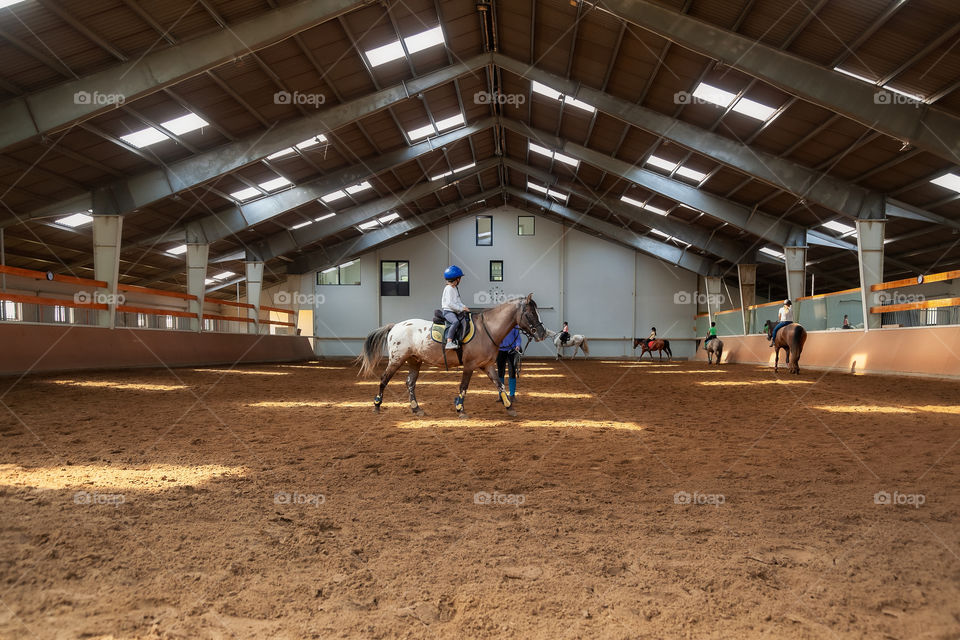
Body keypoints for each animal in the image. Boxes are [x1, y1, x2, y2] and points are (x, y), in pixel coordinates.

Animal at [357, 294, 548, 418]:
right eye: (531, 313)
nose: (542, 333)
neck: (487, 330)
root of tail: (395, 326)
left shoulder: (487, 365)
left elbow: (500, 385)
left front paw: (509, 407)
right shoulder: (470, 365)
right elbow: (463, 386)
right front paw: (460, 409)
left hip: (414, 361)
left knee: (410, 383)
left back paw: (416, 409)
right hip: (397, 360)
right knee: (384, 379)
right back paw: (377, 405)